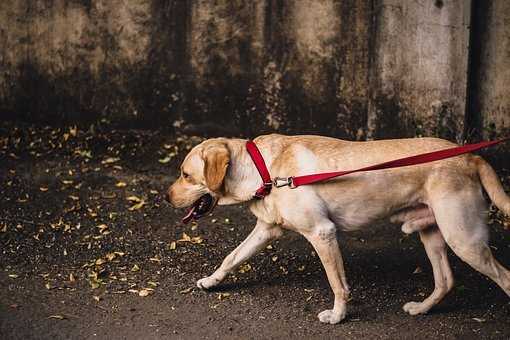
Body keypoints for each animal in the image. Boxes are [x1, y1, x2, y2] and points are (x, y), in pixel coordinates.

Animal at [167, 135, 510, 324]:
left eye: (186, 174)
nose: (166, 197)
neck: (265, 169)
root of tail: (471, 155)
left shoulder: (322, 233)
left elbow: (337, 283)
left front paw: (338, 316)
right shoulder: (266, 230)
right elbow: (232, 257)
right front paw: (212, 281)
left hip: (463, 238)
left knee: (503, 277)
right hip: (434, 235)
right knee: (445, 280)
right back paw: (422, 308)